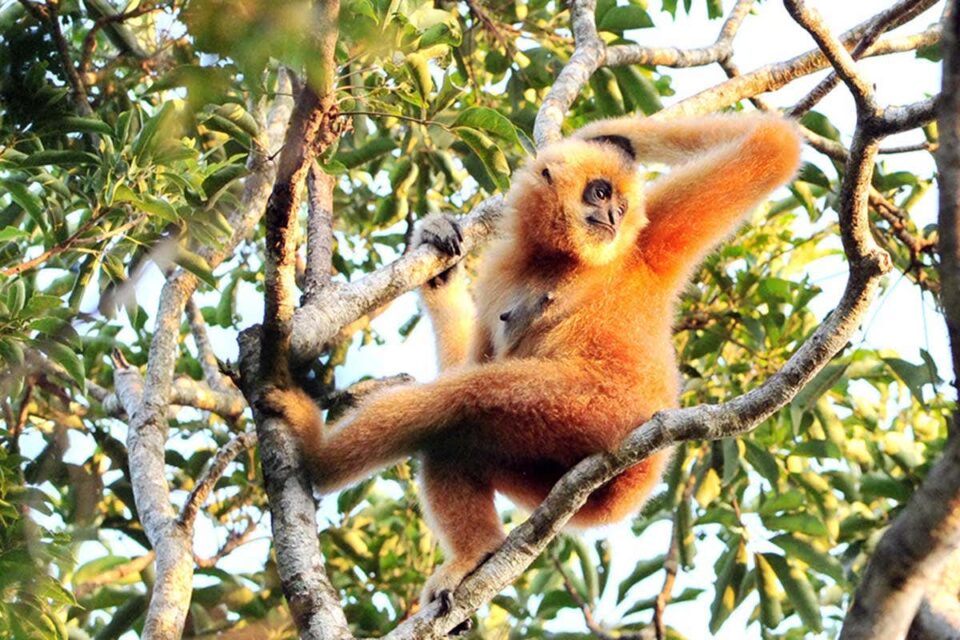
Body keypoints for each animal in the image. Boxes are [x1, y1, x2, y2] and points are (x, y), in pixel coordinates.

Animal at [260, 112, 802, 617]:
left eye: (620, 205)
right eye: (600, 192)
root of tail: (633, 484)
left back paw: (316, 454)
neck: (556, 260)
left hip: (588, 410)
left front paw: (607, 135)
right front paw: (439, 265)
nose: (611, 215)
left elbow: (771, 147)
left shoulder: (644, 247)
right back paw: (476, 553)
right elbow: (469, 359)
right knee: (451, 439)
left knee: (458, 402)